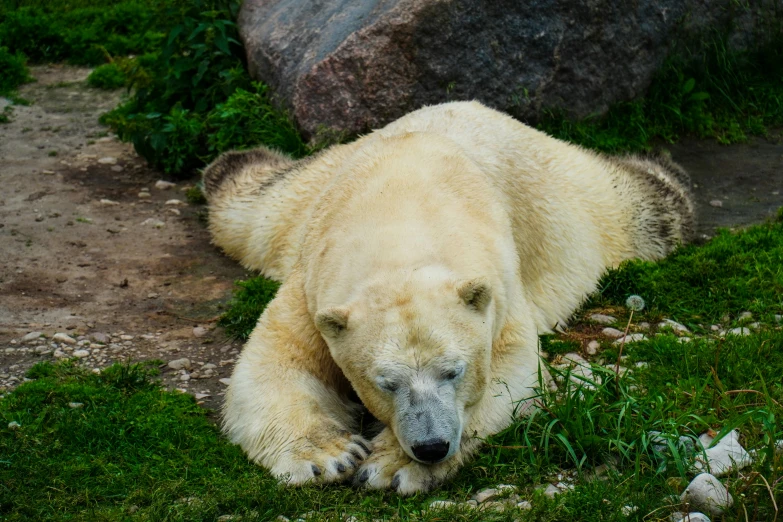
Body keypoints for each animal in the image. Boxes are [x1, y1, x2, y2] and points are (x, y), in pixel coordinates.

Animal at [202, 98, 692, 492]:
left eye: (454, 372)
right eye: (386, 382)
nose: (432, 446)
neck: (399, 209)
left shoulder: (501, 285)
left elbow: (512, 376)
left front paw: (392, 467)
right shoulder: (312, 280)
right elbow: (275, 362)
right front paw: (329, 456)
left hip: (572, 197)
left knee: (645, 207)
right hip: (304, 195)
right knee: (250, 206)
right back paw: (232, 163)